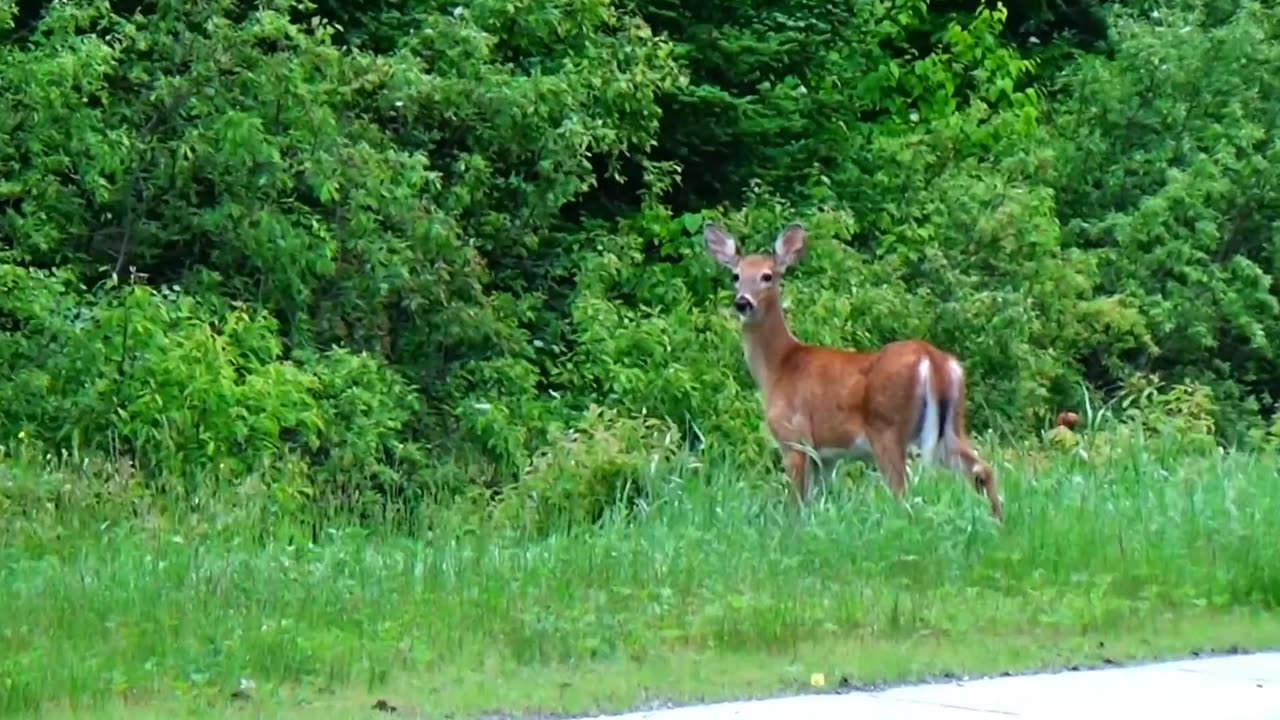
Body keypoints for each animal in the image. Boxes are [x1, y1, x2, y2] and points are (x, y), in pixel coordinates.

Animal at [706, 221, 1003, 517]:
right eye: (735, 275)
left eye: (767, 276)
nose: (742, 302)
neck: (778, 366)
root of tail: (933, 359)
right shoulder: (826, 456)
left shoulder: (795, 438)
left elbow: (796, 504)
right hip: (952, 425)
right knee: (982, 469)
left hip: (887, 428)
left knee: (903, 492)